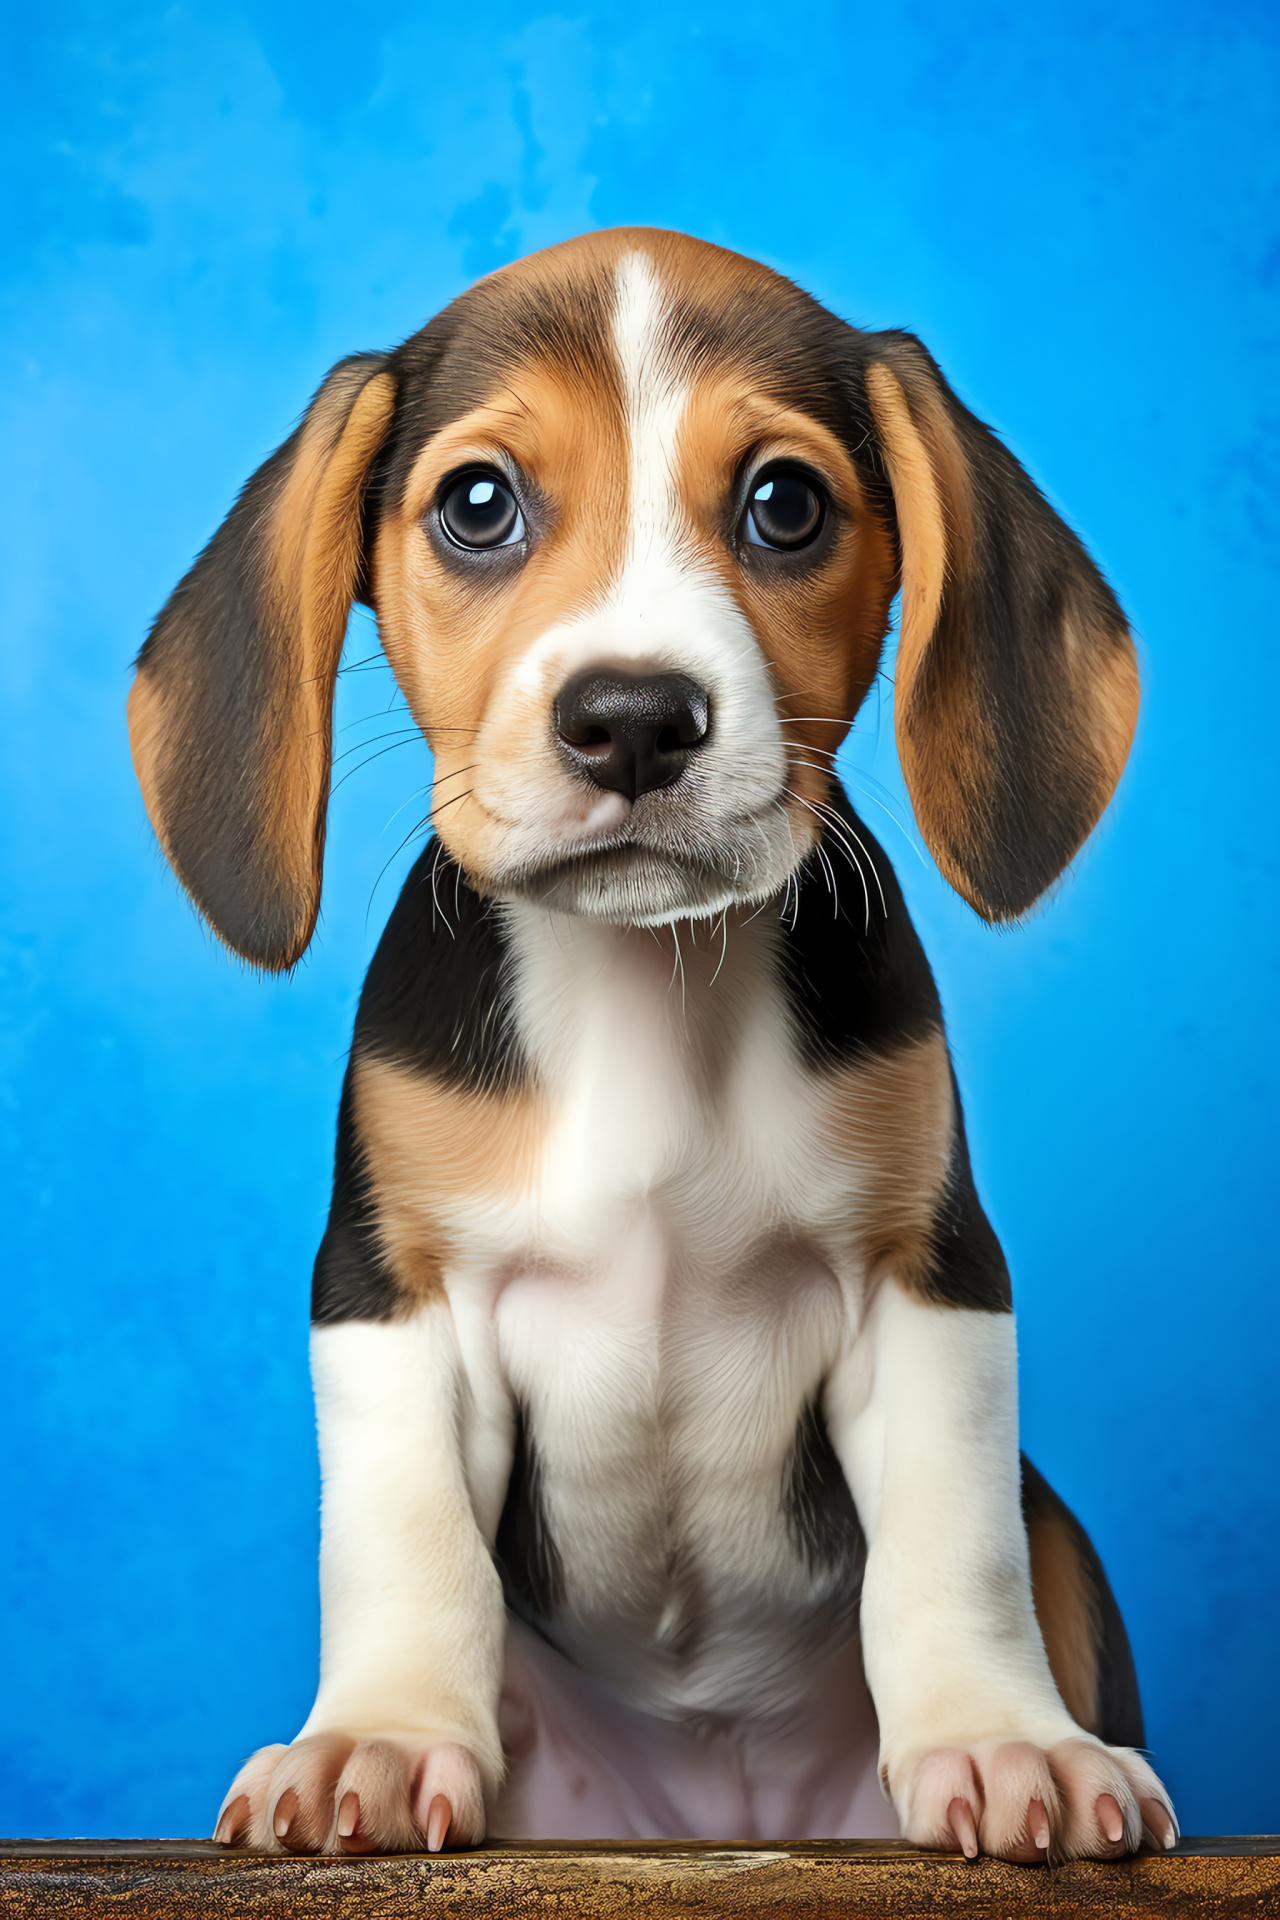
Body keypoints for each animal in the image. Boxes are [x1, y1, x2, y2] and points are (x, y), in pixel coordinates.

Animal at [130, 224, 1182, 1858]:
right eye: (478, 506)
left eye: (785, 504)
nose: (630, 717)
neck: (645, 981)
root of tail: (714, 1811)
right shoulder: (387, 1298)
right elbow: (402, 1536)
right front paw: (379, 1737)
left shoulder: (930, 1278)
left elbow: (953, 1540)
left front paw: (1005, 1740)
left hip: (1059, 1529)